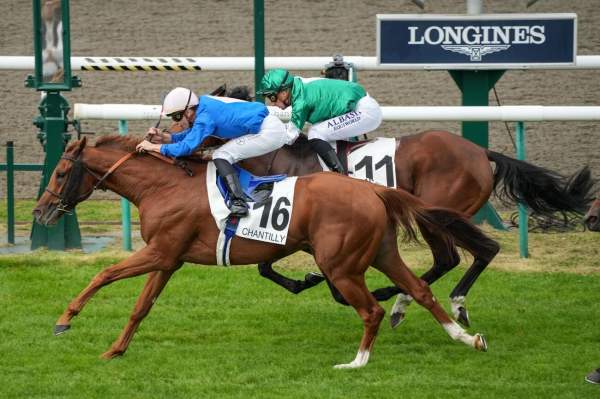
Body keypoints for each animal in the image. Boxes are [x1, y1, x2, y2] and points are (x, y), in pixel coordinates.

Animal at [35, 137, 500, 368]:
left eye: (59, 172)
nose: (40, 212)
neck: (162, 186)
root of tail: (373, 189)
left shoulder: (160, 252)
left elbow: (103, 274)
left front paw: (63, 320)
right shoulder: (169, 258)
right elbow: (140, 307)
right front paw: (115, 350)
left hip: (341, 264)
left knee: (371, 310)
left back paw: (357, 362)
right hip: (382, 253)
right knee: (421, 290)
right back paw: (467, 337)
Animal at [169, 103, 596, 328]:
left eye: (184, 120)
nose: (171, 140)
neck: (278, 153)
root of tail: (480, 151)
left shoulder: (308, 230)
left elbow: (325, 282)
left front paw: (341, 287)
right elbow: (267, 268)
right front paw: (305, 281)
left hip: (437, 213)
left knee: (465, 254)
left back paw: (428, 300)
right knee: (457, 257)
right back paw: (407, 300)